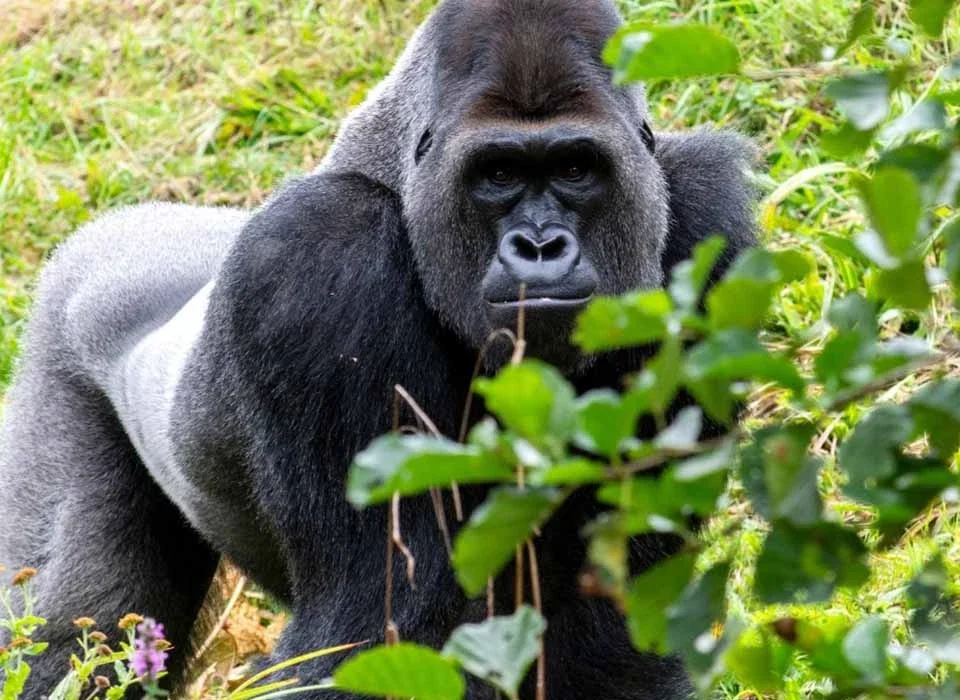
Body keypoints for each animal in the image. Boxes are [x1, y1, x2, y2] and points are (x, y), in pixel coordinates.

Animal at [0, 0, 755, 697]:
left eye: (575, 168)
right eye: (498, 174)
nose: (540, 246)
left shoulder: (706, 222)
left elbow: (612, 624)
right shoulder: (321, 256)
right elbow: (378, 629)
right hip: (59, 337)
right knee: (71, 631)